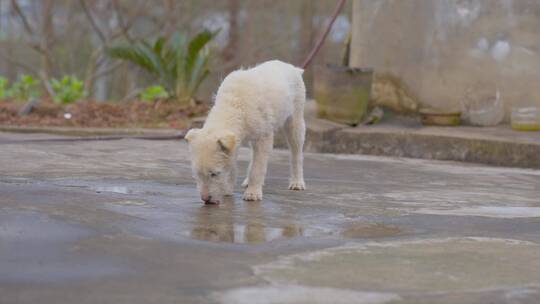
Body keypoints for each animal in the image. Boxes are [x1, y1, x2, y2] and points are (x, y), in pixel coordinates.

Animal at [185, 60, 304, 203]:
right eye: (197, 174)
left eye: (214, 174)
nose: (206, 199)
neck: (235, 105)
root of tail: (292, 67)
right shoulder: (236, 140)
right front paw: (228, 189)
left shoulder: (264, 137)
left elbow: (258, 167)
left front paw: (252, 193)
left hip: (295, 117)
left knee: (296, 151)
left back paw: (297, 182)